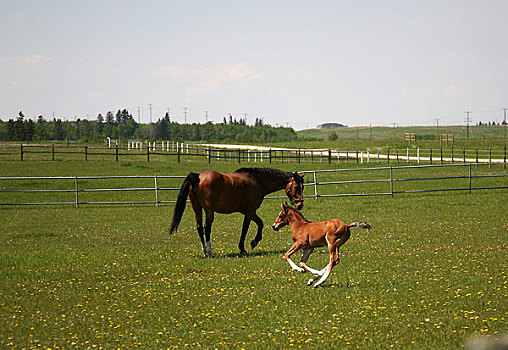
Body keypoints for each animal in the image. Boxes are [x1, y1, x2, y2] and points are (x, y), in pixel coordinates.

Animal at [171, 167, 306, 258]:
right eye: (296, 187)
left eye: (302, 187)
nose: (300, 204)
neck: (258, 181)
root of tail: (198, 176)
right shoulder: (250, 211)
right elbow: (245, 228)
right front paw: (244, 247)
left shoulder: (248, 211)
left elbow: (260, 223)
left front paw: (254, 242)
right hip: (209, 211)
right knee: (206, 228)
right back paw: (210, 252)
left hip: (197, 208)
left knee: (199, 228)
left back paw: (205, 252)